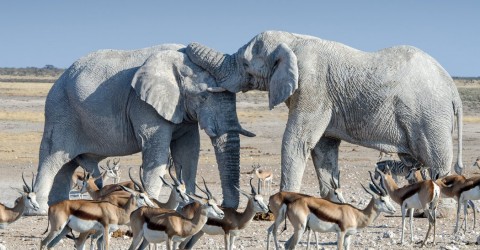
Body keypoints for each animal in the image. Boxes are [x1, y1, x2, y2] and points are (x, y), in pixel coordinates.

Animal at [33, 44, 255, 214]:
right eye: (203, 96)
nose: (225, 207)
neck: (179, 61)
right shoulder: (144, 105)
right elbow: (157, 151)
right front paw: (150, 205)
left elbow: (189, 152)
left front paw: (188, 205)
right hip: (60, 112)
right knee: (52, 158)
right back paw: (40, 209)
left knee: (66, 165)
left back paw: (57, 205)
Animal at [186, 29, 464, 197]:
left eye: (246, 64)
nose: (183, 48)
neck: (293, 40)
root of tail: (453, 90)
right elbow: (324, 148)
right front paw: (332, 205)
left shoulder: (313, 87)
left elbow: (296, 141)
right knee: (415, 162)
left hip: (430, 117)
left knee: (436, 162)